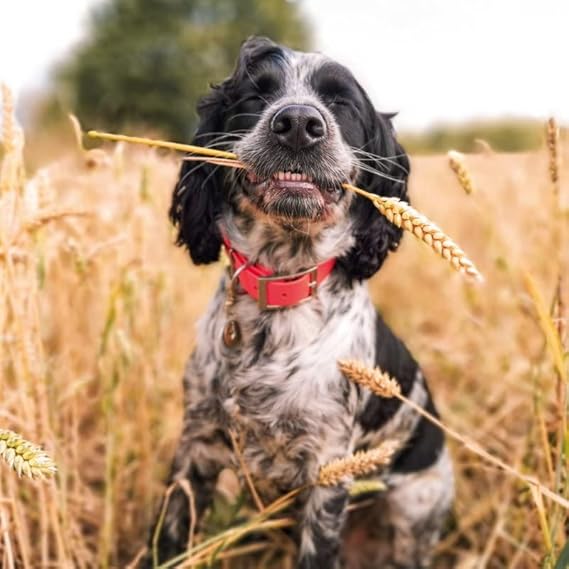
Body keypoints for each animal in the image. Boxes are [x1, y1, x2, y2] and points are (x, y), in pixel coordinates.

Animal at [145, 35, 452, 568]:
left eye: (341, 104)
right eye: (254, 96)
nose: (298, 125)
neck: (280, 284)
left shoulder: (326, 473)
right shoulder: (195, 446)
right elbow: (171, 534)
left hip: (415, 508)